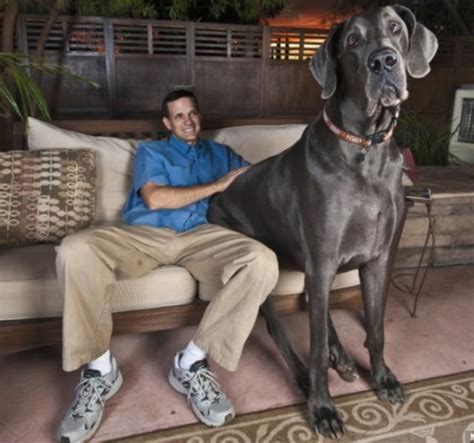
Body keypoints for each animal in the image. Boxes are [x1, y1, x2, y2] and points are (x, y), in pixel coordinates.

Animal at [209, 5, 438, 442]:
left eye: (396, 29)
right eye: (352, 41)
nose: (383, 61)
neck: (365, 147)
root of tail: (215, 198)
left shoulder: (375, 260)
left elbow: (377, 328)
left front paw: (382, 378)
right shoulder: (323, 258)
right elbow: (313, 347)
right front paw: (322, 408)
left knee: (319, 305)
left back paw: (342, 356)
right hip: (266, 259)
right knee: (278, 327)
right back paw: (304, 377)